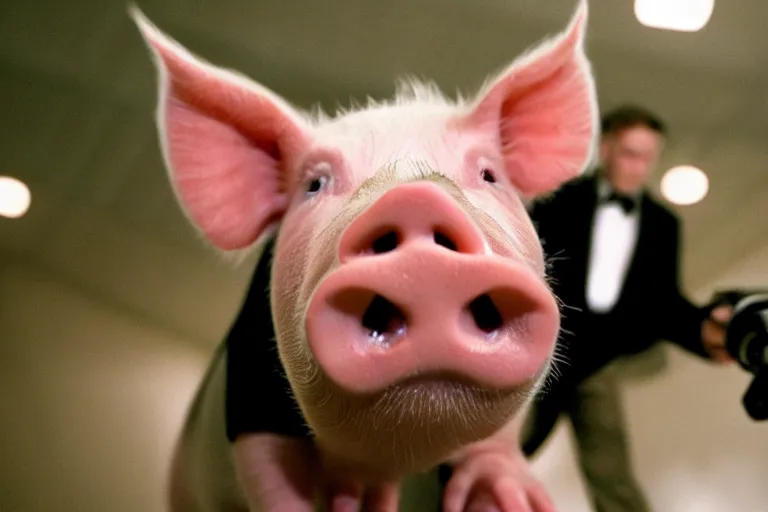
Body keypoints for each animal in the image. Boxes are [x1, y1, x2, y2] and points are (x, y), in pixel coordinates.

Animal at [132, 1, 600, 508]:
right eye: (314, 184)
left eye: (489, 174)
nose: (416, 201)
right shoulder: (248, 396)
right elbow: (269, 476)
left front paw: (517, 499)